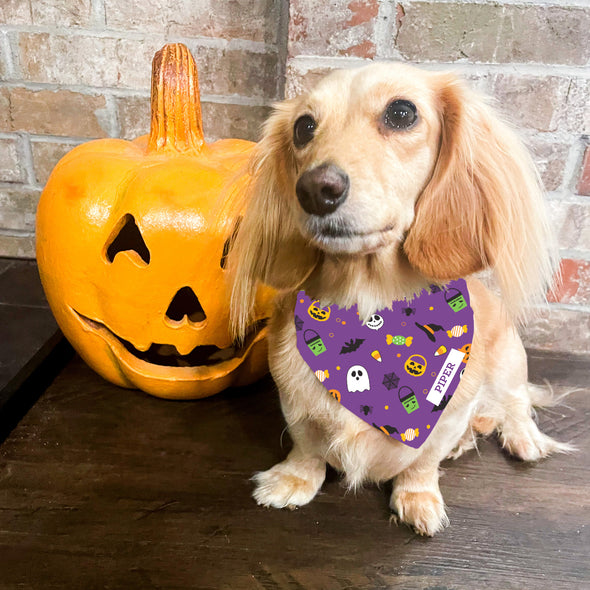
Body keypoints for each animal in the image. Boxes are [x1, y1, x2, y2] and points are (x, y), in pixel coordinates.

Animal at [229, 62, 572, 540]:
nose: (315, 189)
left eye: (402, 113)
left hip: (509, 360)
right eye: (303, 127)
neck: (369, 309)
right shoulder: (294, 401)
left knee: (516, 403)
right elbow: (307, 445)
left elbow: (423, 461)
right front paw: (293, 480)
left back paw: (523, 439)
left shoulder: (446, 415)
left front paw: (418, 498)